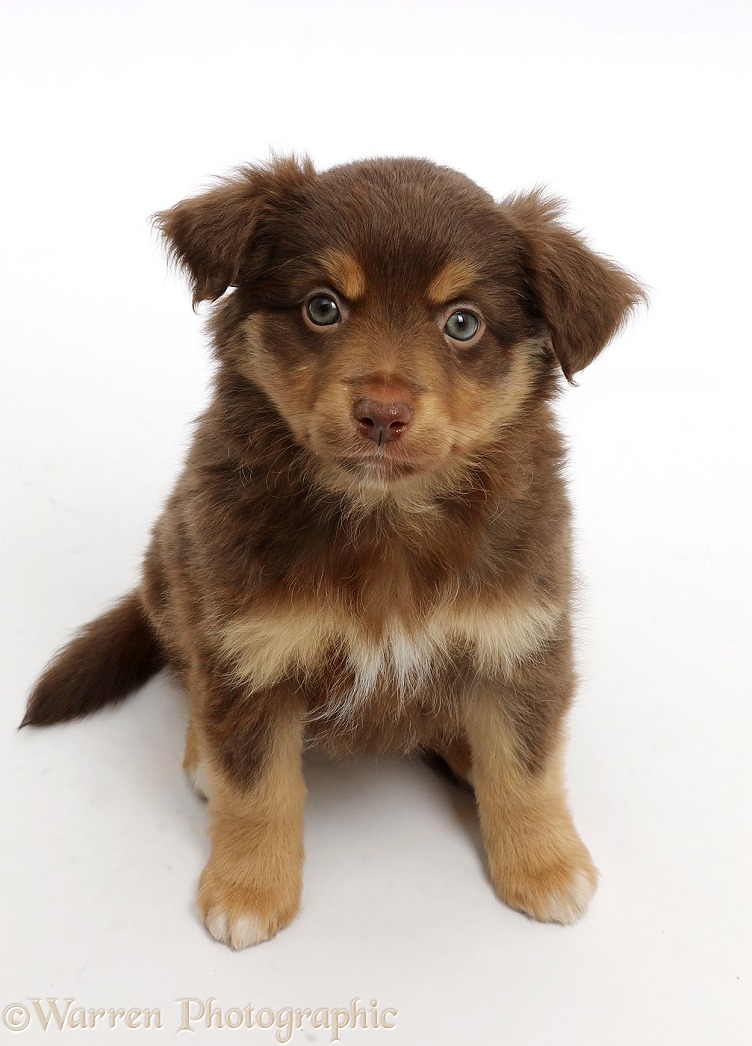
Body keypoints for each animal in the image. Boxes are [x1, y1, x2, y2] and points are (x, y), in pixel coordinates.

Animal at [23, 154, 648, 949]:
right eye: (323, 308)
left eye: (463, 323)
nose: (382, 414)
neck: (386, 518)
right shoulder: (245, 649)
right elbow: (258, 785)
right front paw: (249, 887)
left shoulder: (522, 638)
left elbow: (526, 766)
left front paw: (543, 863)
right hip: (175, 577)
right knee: (190, 679)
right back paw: (201, 757)